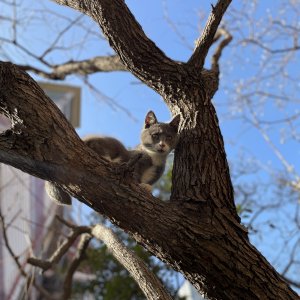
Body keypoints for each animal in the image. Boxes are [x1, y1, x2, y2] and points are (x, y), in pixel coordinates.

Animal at [45, 110, 179, 206]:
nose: (162, 145)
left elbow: (149, 182)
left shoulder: (157, 172)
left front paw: (147, 187)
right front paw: (140, 186)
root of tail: (83, 139)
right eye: (155, 135)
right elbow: (135, 177)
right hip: (109, 143)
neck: (154, 157)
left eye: (169, 137)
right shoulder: (135, 160)